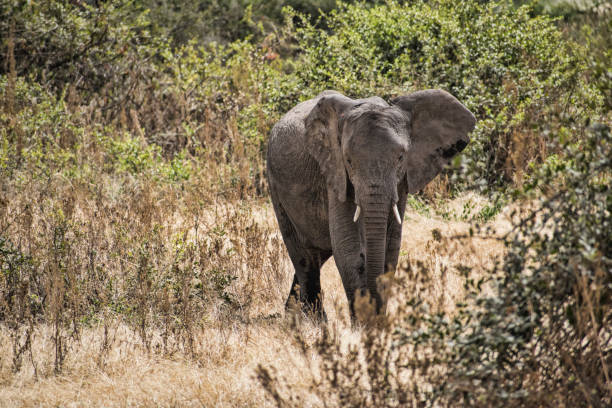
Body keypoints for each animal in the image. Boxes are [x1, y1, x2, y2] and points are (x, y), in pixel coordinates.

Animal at [266, 88, 476, 316]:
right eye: (349, 160)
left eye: (401, 157)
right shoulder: (335, 173)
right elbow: (347, 247)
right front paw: (364, 322)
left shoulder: (402, 180)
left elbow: (391, 247)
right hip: (274, 183)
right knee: (304, 258)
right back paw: (311, 319)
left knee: (318, 255)